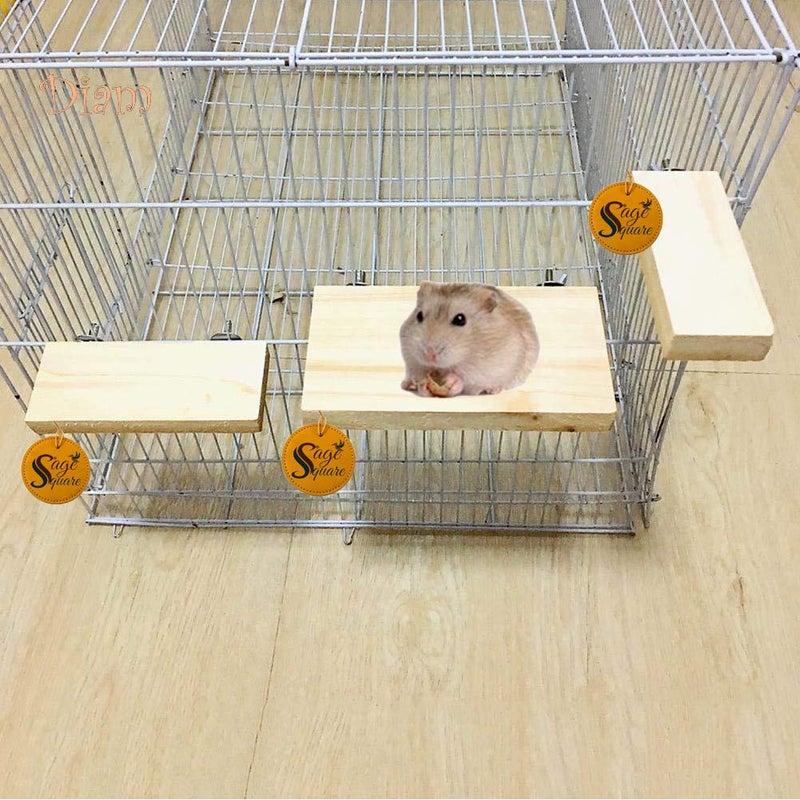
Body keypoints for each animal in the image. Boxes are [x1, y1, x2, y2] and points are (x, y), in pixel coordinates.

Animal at [399, 281, 539, 398]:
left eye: (460, 319)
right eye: (419, 316)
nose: (429, 355)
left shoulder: (482, 368)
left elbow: (464, 379)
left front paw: (451, 380)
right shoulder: (412, 360)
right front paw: (422, 384)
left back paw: (493, 390)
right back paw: (406, 384)